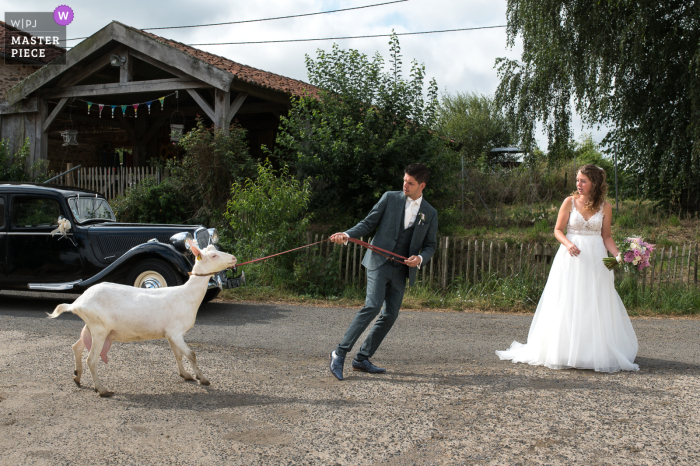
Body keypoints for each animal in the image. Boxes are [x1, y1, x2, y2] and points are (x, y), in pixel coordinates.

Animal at [48, 240, 238, 396]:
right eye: (213, 255)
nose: (234, 258)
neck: (187, 295)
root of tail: (78, 303)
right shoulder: (176, 332)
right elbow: (191, 354)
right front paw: (203, 379)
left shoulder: (170, 333)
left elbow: (178, 354)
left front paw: (186, 375)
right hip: (99, 328)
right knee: (91, 359)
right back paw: (102, 390)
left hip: (91, 326)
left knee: (77, 347)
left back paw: (77, 377)